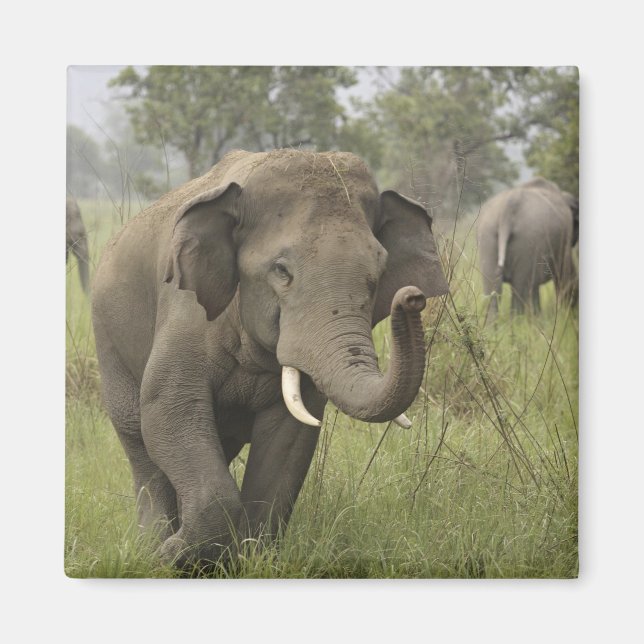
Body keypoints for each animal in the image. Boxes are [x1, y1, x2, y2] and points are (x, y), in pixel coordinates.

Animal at [91, 149, 449, 566]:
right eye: (281, 271)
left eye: (378, 274)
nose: (412, 297)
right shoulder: (185, 312)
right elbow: (168, 408)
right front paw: (173, 557)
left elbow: (289, 437)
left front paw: (247, 560)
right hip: (108, 340)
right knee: (140, 441)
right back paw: (152, 547)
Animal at [477, 177, 578, 319]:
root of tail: (508, 208)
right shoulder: (565, 236)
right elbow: (567, 276)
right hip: (528, 240)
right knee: (521, 290)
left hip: (487, 236)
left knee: (493, 292)